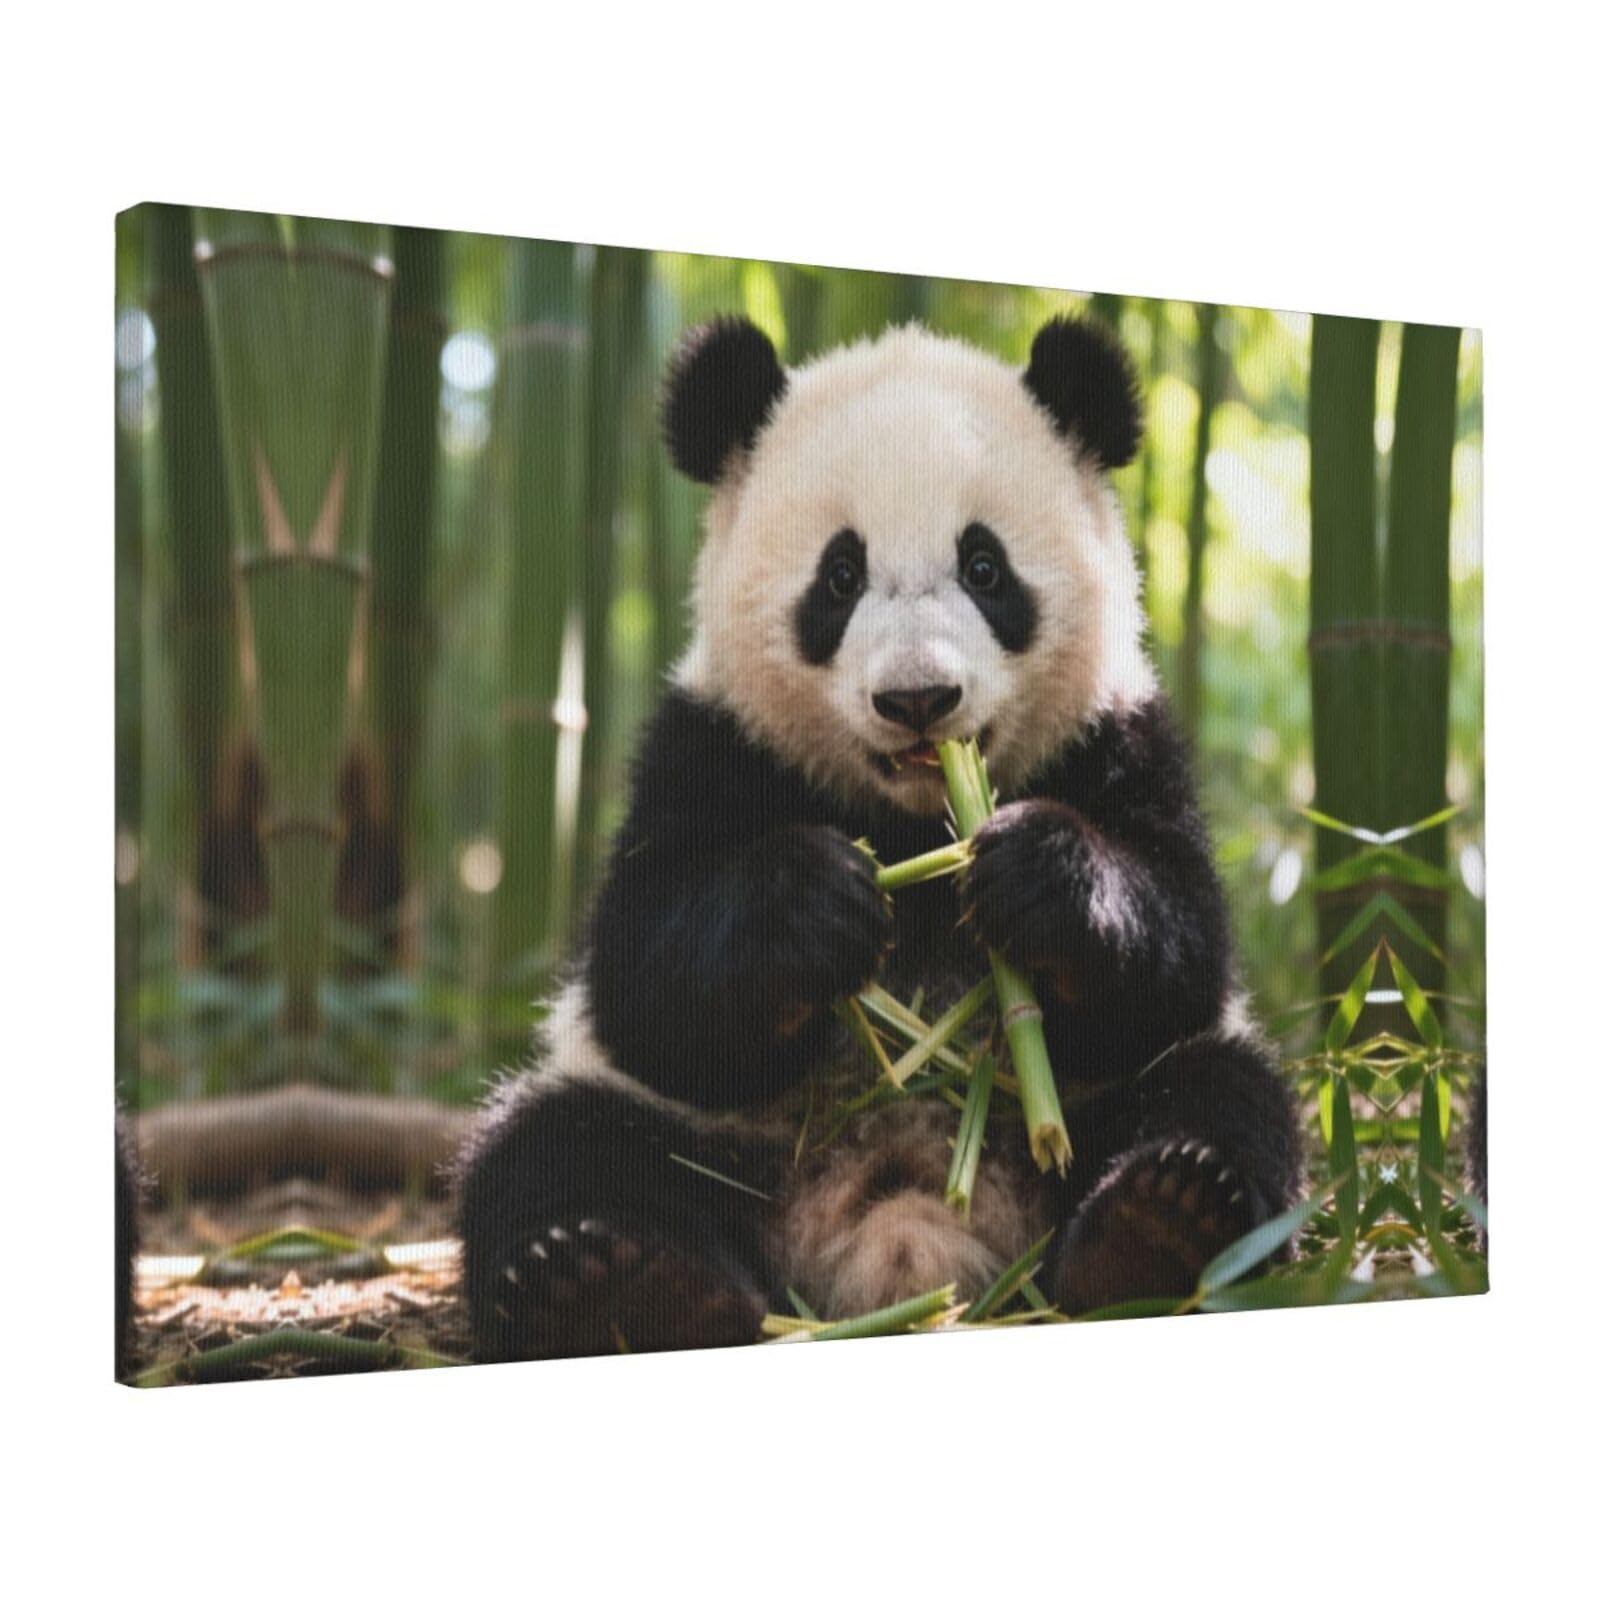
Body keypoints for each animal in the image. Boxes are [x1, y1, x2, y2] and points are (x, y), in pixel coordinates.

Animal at [454, 313, 1303, 1360]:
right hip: (715, 1143)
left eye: (984, 567)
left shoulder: (1118, 739)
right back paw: (618, 1286)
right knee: (557, 1148)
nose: (918, 699)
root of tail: (896, 1242)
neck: (910, 821)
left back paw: (1160, 1223)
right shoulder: (709, 747)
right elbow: (645, 980)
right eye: (840, 574)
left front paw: (1037, 873)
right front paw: (814, 905)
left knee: (1222, 1095)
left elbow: (1177, 955)